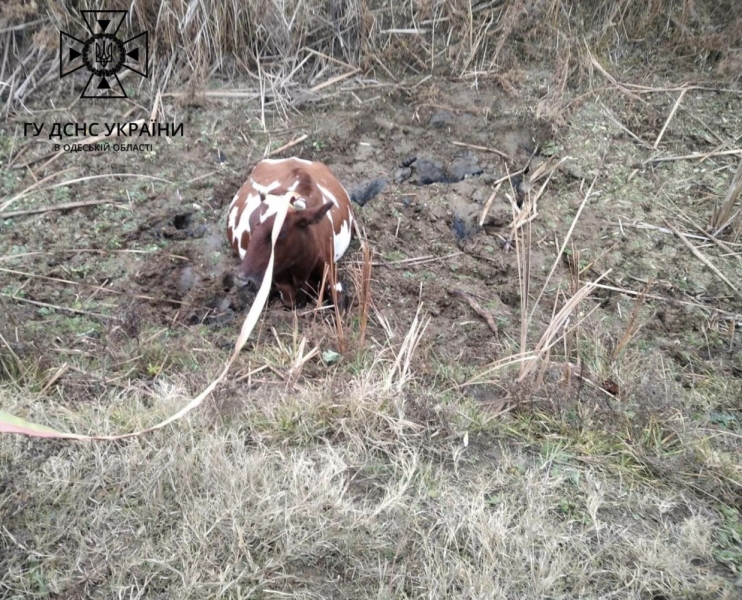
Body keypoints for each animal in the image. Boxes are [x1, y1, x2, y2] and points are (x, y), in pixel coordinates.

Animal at [225, 157, 358, 310]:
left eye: (281, 233)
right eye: (250, 224)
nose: (241, 280)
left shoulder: (330, 268)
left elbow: (339, 303)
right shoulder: (281, 283)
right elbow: (291, 300)